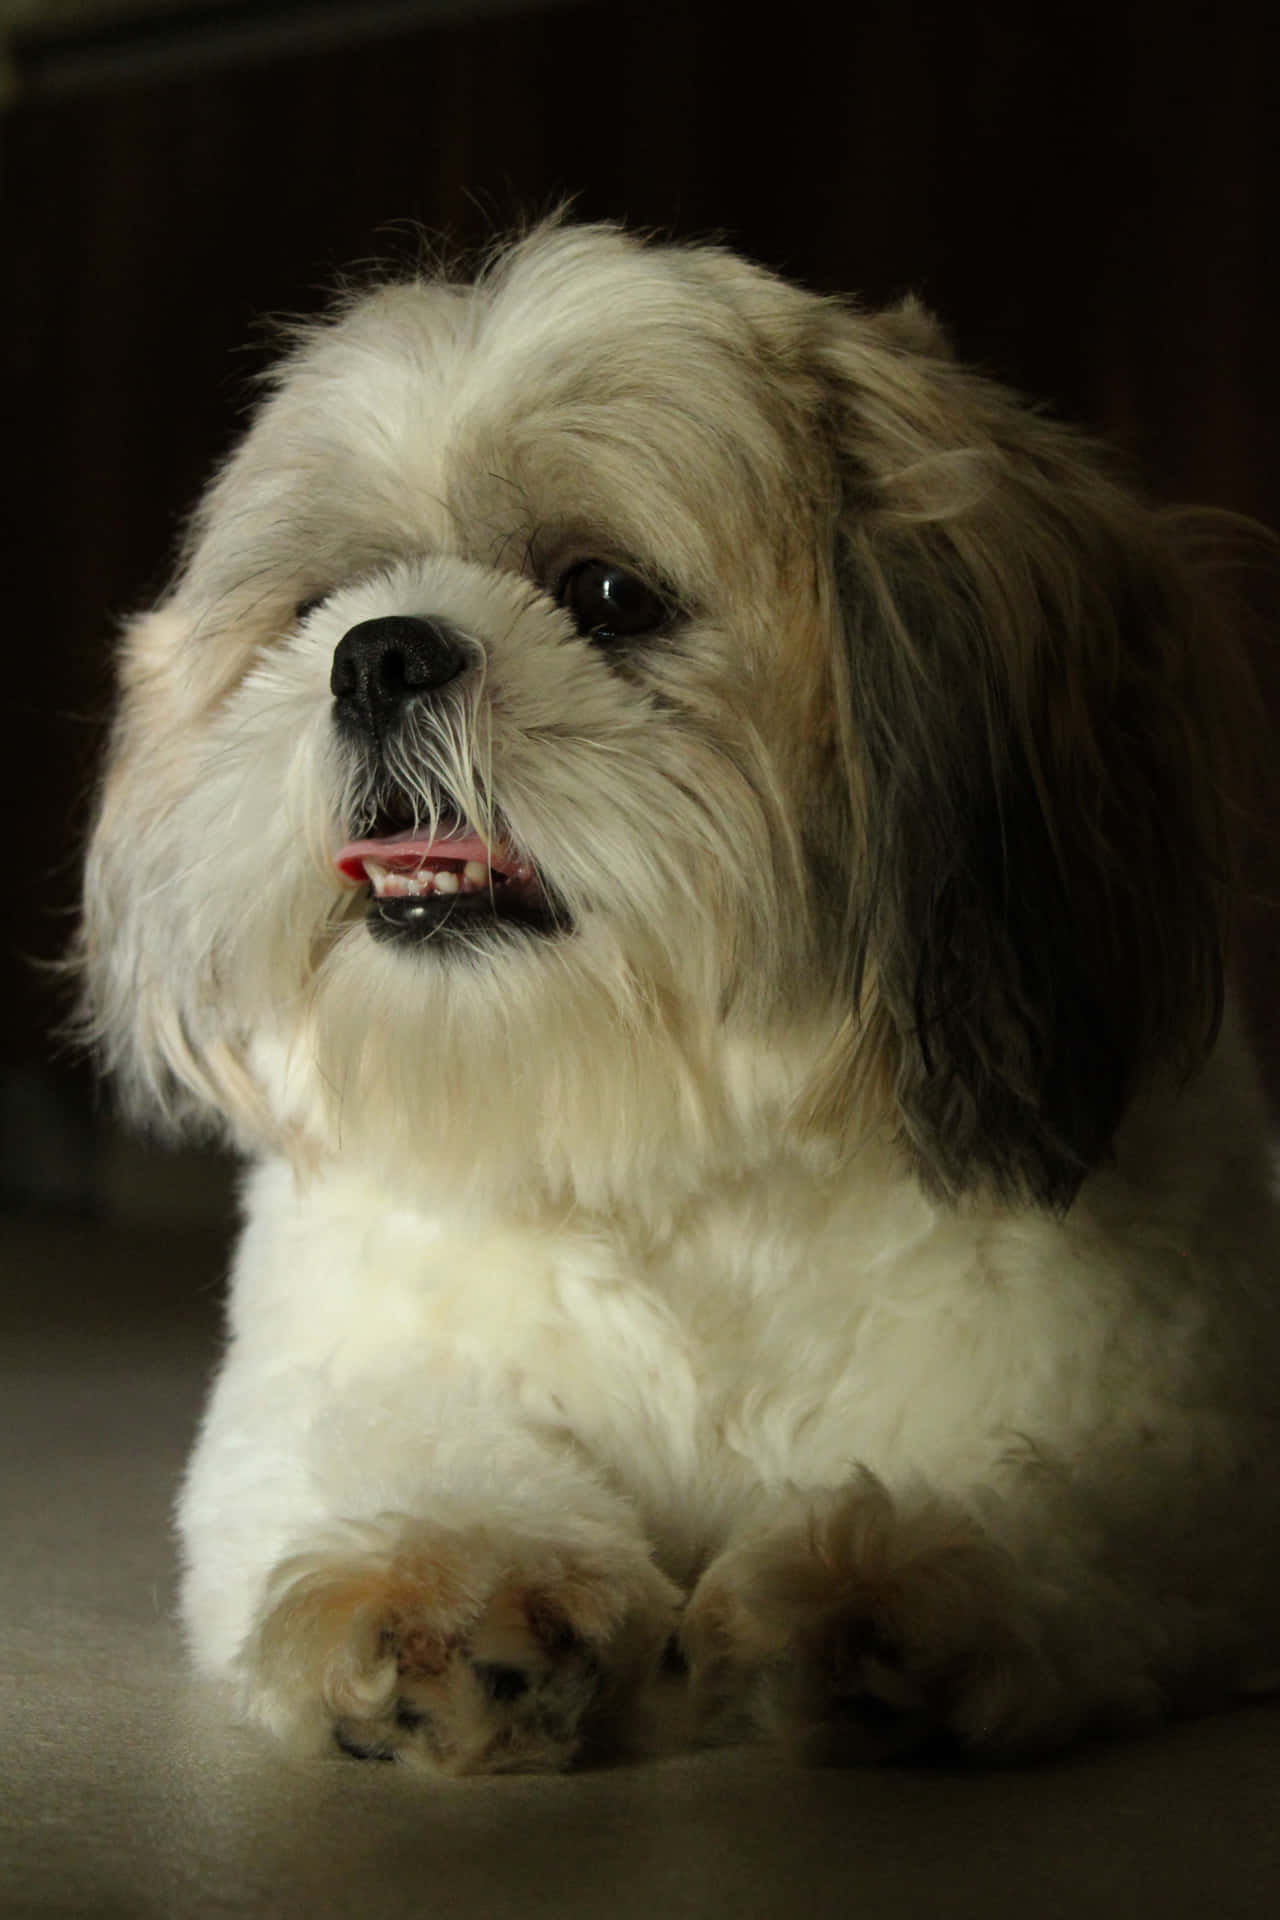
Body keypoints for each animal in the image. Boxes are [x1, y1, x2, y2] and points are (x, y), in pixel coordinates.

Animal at [80, 220, 1280, 1766]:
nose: (380, 652)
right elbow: (394, 1455)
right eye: (313, 610)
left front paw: (890, 1583)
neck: (670, 1152)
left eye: (605, 595)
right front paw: (452, 1586)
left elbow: (1055, 1507)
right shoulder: (334, 1377)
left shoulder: (1178, 1447)